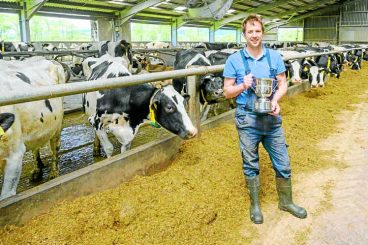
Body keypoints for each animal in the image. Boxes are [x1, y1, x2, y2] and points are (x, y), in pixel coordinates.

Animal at [0, 56, 65, 200]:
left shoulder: (14, 154)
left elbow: (6, 196)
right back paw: (37, 170)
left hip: (57, 126)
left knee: (55, 148)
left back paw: (54, 174)